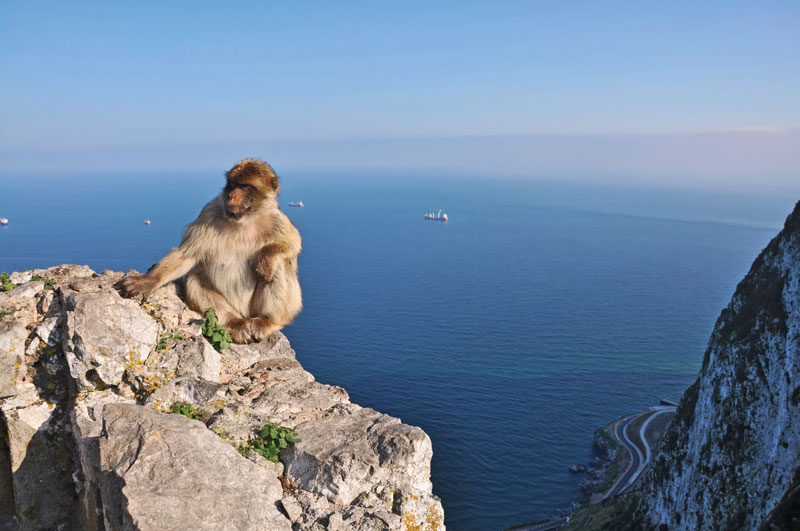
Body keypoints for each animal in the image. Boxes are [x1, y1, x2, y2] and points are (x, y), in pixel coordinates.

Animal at [119, 158, 304, 342]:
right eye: (232, 184)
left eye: (245, 186)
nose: (232, 195)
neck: (243, 221)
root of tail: (244, 313)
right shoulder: (209, 212)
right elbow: (186, 255)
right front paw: (147, 281)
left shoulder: (277, 219)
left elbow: (293, 244)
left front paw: (266, 258)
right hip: (233, 307)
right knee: (194, 278)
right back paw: (234, 322)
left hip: (255, 309)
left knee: (279, 266)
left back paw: (267, 320)